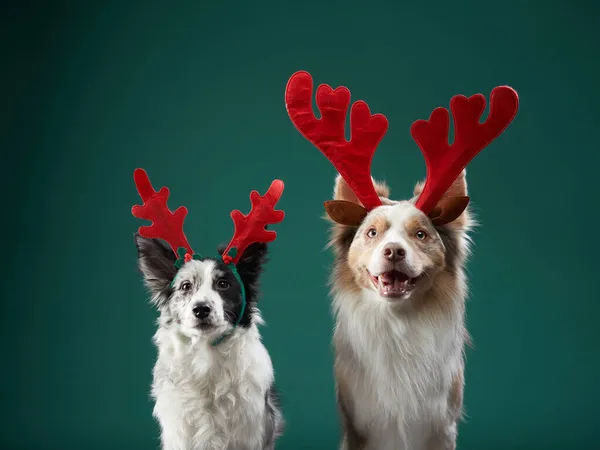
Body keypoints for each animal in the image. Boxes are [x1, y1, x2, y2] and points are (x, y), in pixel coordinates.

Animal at [328, 170, 474, 450]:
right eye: (372, 232)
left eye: (420, 234)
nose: (394, 251)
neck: (397, 323)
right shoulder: (359, 425)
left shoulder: (441, 425)